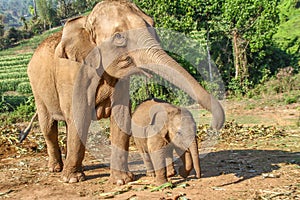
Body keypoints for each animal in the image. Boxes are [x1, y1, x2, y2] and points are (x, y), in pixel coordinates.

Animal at [27, 0, 225, 184]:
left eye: (152, 24)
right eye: (119, 37)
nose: (216, 124)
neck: (86, 22)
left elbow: (121, 116)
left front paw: (122, 180)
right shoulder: (72, 74)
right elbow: (79, 114)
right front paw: (72, 180)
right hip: (37, 90)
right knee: (48, 127)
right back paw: (56, 169)